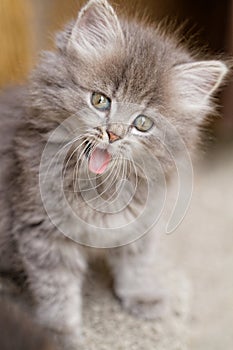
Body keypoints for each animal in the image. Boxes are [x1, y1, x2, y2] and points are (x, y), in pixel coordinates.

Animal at [0, 0, 228, 350]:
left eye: (143, 123)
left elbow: (137, 262)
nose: (113, 134)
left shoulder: (142, 217)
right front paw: (59, 334)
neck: (100, 187)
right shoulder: (41, 230)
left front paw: (144, 297)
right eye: (100, 100)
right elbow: (56, 289)